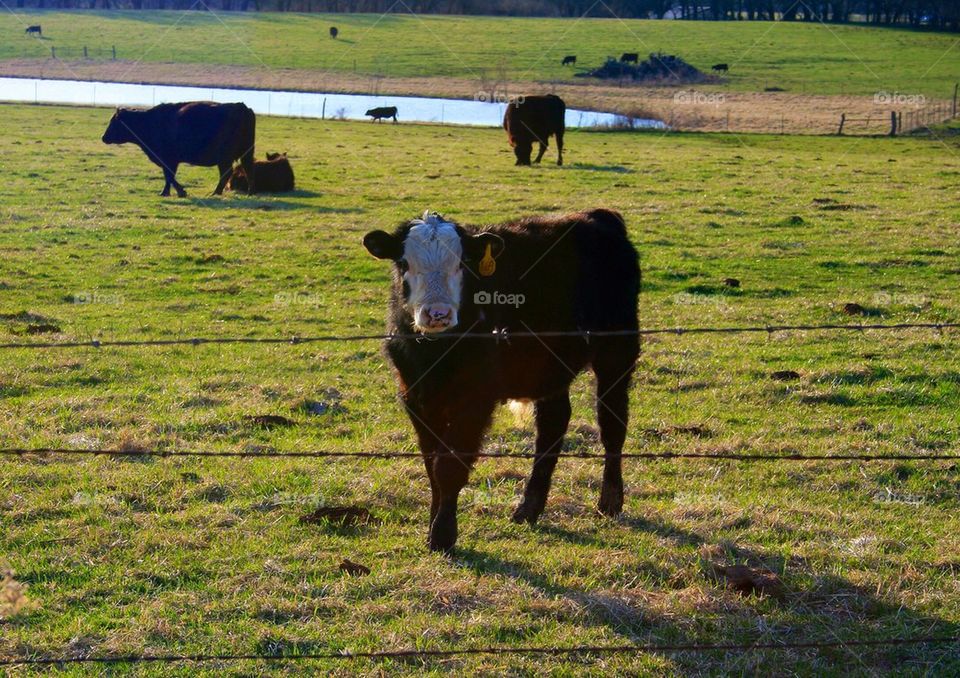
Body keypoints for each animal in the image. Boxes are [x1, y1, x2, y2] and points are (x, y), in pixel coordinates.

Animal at [101, 101, 255, 198]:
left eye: (113, 122)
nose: (103, 137)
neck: (149, 121)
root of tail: (241, 107)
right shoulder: (169, 160)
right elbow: (168, 176)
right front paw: (167, 192)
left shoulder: (168, 159)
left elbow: (169, 175)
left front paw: (179, 192)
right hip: (243, 154)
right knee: (245, 169)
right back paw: (249, 192)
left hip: (225, 158)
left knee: (227, 173)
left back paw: (216, 193)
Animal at [364, 210, 640, 556]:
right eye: (403, 262)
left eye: (463, 263)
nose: (437, 313)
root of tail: (598, 216)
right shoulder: (416, 396)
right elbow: (432, 464)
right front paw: (432, 525)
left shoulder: (475, 399)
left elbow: (449, 466)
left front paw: (443, 534)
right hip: (550, 367)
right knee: (553, 425)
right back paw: (529, 508)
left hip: (616, 355)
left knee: (612, 423)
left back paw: (610, 501)